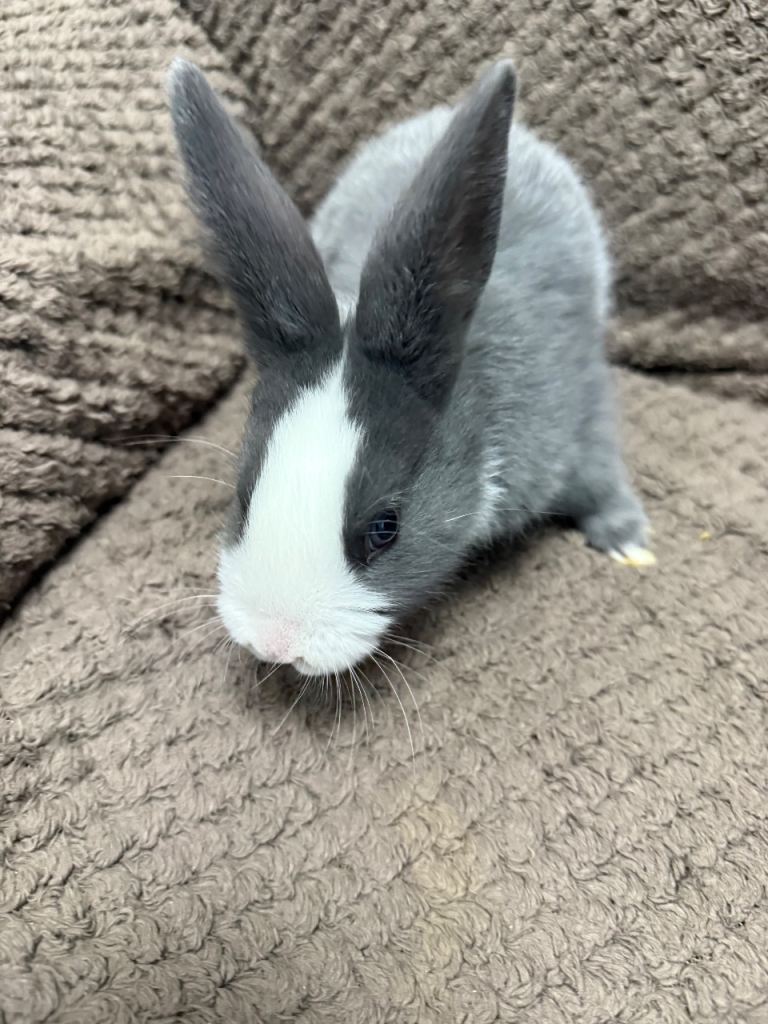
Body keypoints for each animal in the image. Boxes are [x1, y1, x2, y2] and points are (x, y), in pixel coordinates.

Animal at [168, 58, 653, 678]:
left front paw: (628, 540)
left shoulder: (577, 415)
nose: (276, 645)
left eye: (385, 529)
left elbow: (599, 475)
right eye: (243, 497)